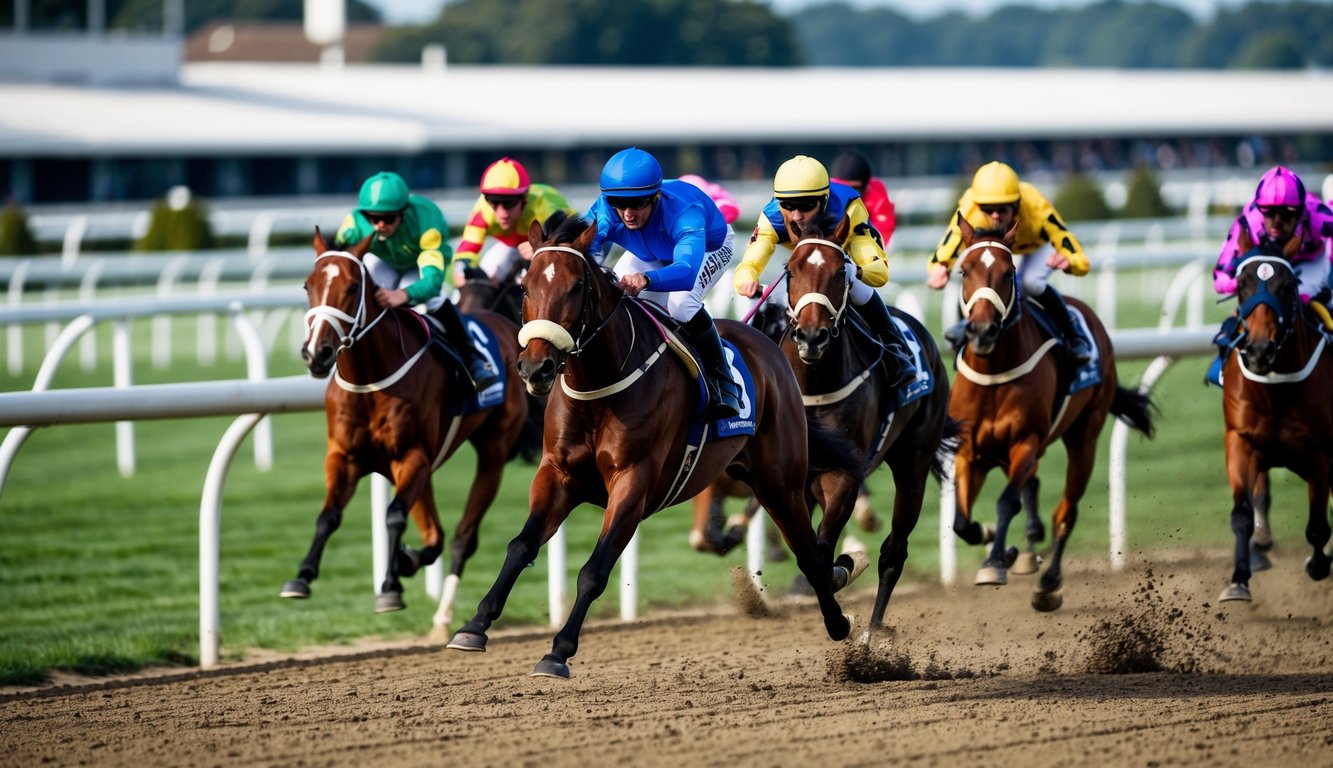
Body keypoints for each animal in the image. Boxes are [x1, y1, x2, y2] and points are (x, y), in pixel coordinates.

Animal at [286, 230, 541, 632]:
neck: (370, 380)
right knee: (435, 535)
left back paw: (443, 614)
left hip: (492, 450)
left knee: (461, 538)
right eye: (308, 285)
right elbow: (328, 515)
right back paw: (411, 563)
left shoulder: (413, 455)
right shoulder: (344, 456)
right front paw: (302, 576)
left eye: (352, 287)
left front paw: (389, 588)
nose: (317, 354)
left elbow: (393, 516)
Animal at [445, 213, 863, 674]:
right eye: (524, 286)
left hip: (780, 481)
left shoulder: (634, 481)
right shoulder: (558, 473)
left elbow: (594, 571)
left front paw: (558, 651)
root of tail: (770, 346)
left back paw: (840, 622)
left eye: (575, 287)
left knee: (810, 554)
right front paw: (473, 626)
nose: (536, 367)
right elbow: (521, 546)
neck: (599, 385)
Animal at [778, 213, 959, 632]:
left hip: (913, 461)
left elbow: (823, 551)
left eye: (839, 273)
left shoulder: (846, 473)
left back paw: (873, 633)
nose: (811, 337)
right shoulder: (795, 477)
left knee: (894, 551)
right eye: (791, 271)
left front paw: (845, 566)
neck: (815, 387)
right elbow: (809, 551)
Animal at [949, 217, 1157, 613]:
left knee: (1066, 512)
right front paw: (997, 544)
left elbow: (1006, 502)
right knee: (1033, 488)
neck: (994, 375)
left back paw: (1048, 583)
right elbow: (961, 522)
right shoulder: (970, 451)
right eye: (964, 271)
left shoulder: (1025, 441)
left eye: (1008, 273)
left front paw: (995, 562)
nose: (982, 331)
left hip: (1084, 437)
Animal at [1221, 230, 1327, 602]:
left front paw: (1318, 564)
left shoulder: (1321, 452)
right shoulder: (1241, 441)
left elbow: (1318, 524)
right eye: (1242, 284)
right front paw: (1238, 579)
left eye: (1287, 286)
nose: (1258, 351)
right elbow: (1241, 514)